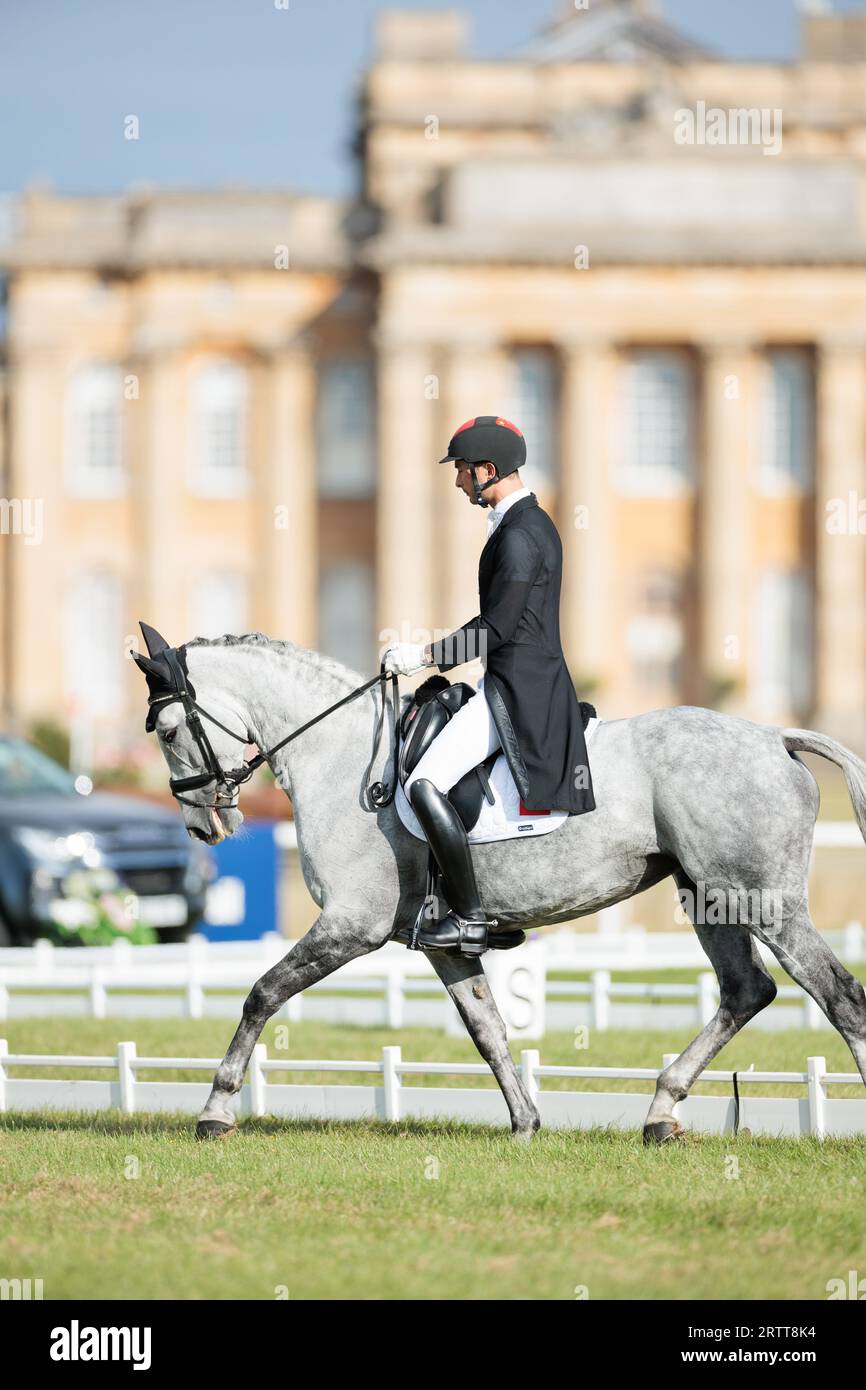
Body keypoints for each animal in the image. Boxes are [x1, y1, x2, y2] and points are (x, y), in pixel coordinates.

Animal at [130, 631, 866, 1139]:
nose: (203, 824)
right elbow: (486, 1028)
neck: (337, 755)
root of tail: (773, 737)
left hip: (762, 900)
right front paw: (525, 1122)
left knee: (839, 997)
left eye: (167, 729)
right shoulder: (443, 942)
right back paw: (661, 1111)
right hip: (709, 895)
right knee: (747, 991)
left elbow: (262, 993)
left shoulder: (350, 925)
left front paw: (215, 1110)